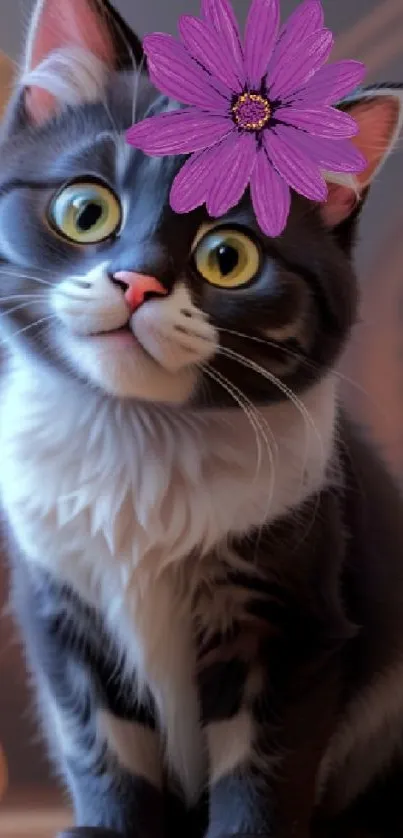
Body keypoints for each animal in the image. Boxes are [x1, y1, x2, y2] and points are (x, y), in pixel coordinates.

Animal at [0, 1, 403, 838]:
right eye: (86, 211)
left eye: (228, 256)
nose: (137, 280)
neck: (138, 440)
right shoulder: (61, 606)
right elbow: (102, 741)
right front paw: (105, 827)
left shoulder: (291, 616)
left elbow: (262, 763)